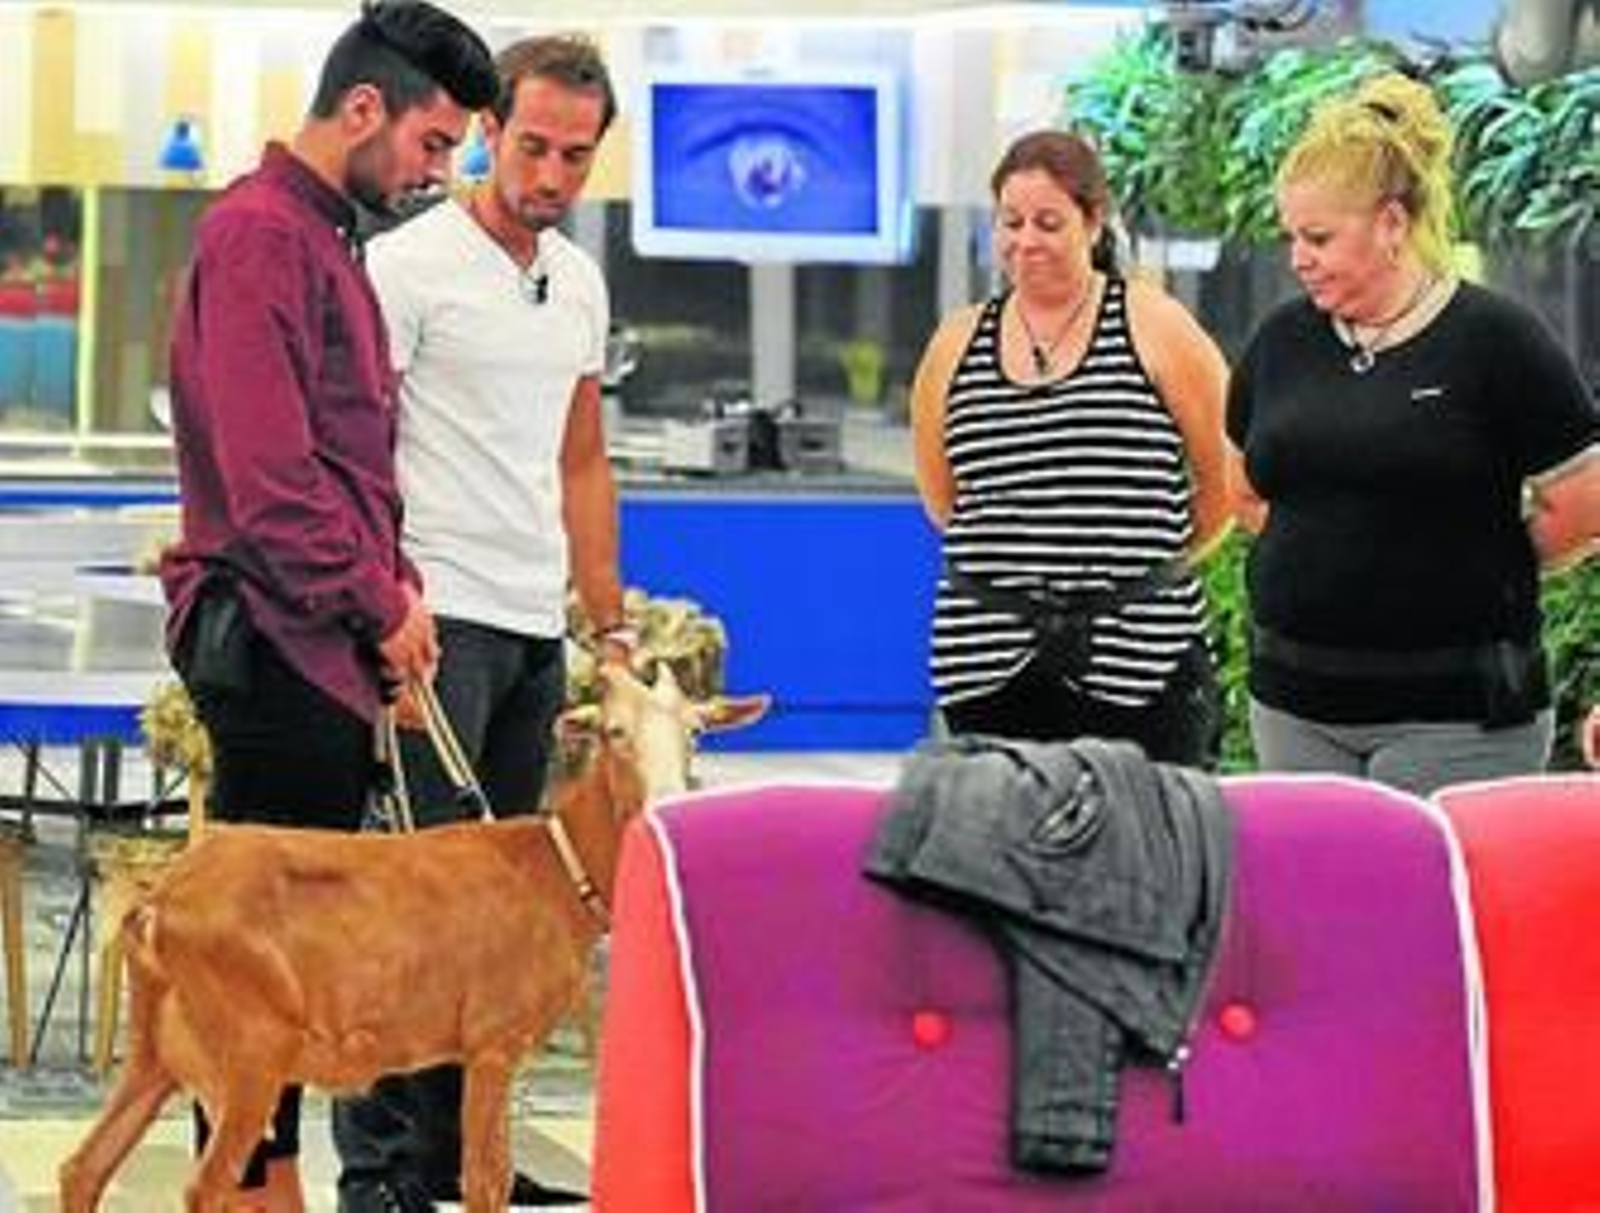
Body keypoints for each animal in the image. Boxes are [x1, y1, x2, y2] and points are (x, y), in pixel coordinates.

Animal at [58, 662, 769, 1213]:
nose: (666, 803)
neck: (557, 871)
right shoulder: (492, 1045)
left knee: (84, 1166)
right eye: (615, 732)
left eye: (696, 732)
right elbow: (486, 1181)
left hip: (157, 1050)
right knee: (208, 1187)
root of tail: (160, 898)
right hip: (250, 1050)